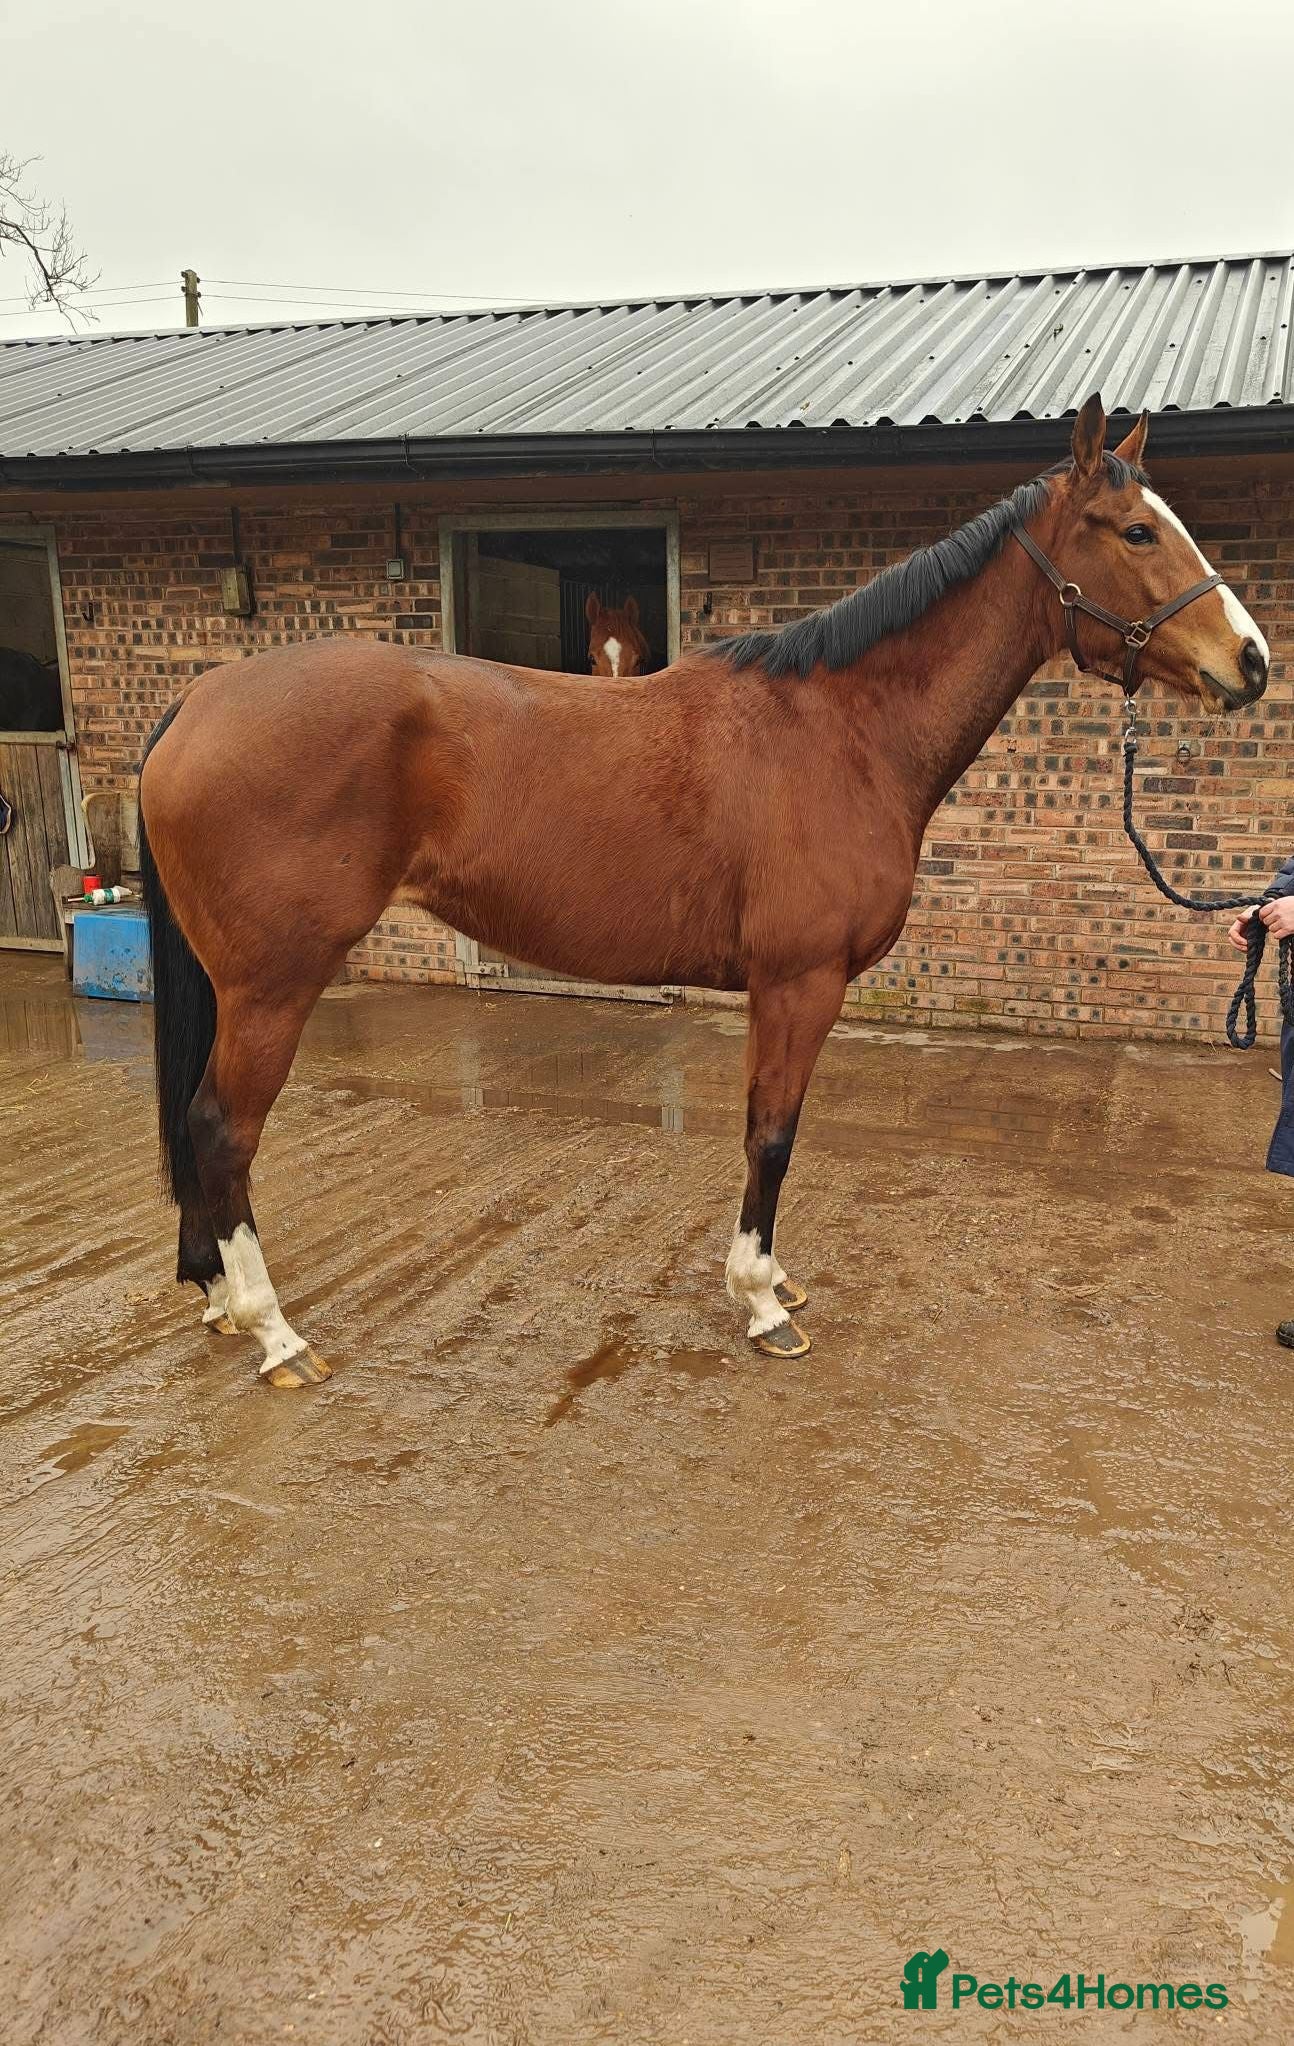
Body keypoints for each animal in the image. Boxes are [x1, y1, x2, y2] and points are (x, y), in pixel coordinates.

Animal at [138, 396, 1269, 1388]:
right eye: (1136, 530)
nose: (1251, 662)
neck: (844, 731)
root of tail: (200, 699)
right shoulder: (799, 982)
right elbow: (772, 1133)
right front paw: (761, 1302)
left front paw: (772, 1283)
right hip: (274, 983)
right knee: (222, 1128)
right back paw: (275, 1333)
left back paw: (217, 1298)